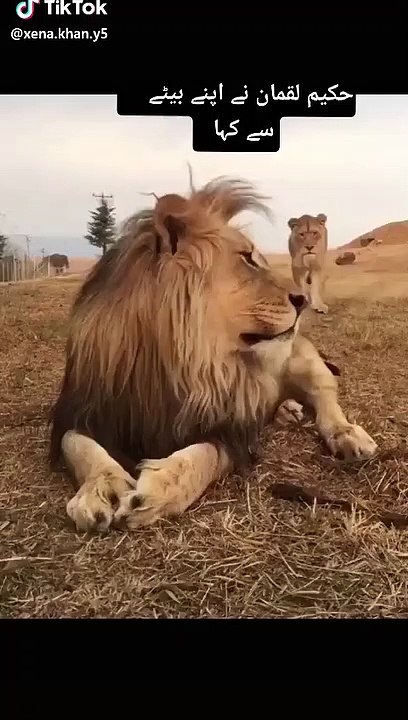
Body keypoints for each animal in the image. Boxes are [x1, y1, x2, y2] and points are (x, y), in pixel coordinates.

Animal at [49, 177, 378, 533]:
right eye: (247, 258)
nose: (303, 300)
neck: (182, 359)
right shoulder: (82, 408)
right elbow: (80, 446)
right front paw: (101, 489)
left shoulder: (231, 430)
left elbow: (203, 456)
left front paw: (156, 492)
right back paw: (286, 410)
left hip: (300, 358)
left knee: (324, 393)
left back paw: (347, 435)